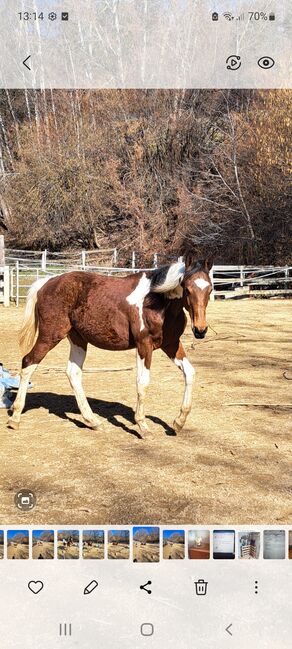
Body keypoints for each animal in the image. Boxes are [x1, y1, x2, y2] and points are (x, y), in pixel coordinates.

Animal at [6, 256, 212, 432]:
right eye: (187, 289)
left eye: (210, 290)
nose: (200, 330)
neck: (157, 302)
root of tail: (46, 283)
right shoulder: (144, 346)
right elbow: (142, 382)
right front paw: (142, 425)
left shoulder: (171, 344)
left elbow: (190, 373)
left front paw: (179, 422)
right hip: (50, 336)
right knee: (28, 362)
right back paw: (15, 418)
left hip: (78, 339)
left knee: (73, 373)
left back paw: (92, 421)